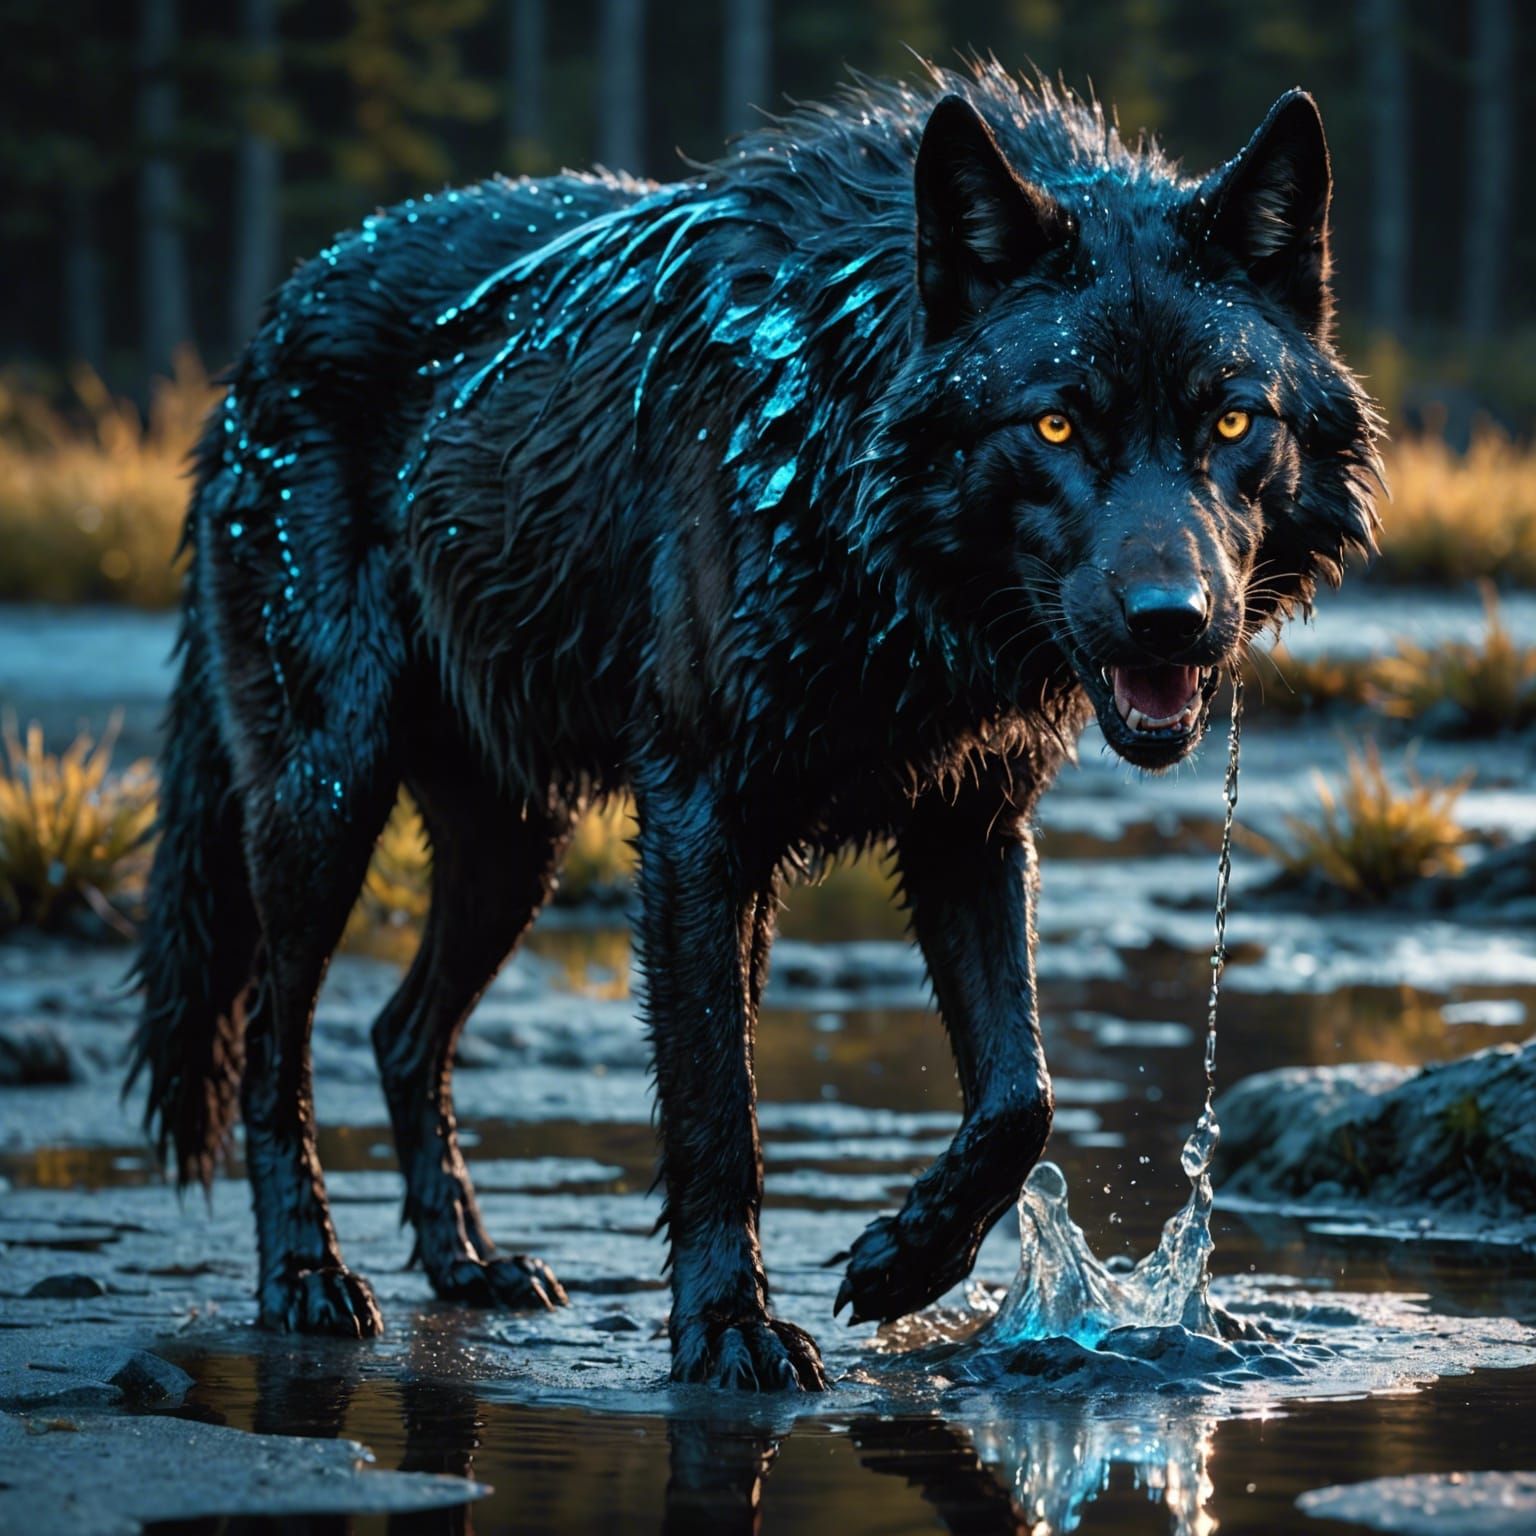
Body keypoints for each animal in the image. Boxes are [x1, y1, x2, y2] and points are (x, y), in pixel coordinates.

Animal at [131, 60, 1381, 1391]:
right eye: (1054, 424)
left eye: (1234, 423)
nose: (1171, 622)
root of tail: (268, 326)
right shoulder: (697, 825)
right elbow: (717, 1110)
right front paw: (729, 1325)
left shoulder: (970, 825)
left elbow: (1020, 1096)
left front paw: (907, 1261)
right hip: (327, 801)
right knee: (276, 1044)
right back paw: (306, 1276)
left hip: (515, 849)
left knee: (399, 1033)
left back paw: (468, 1265)